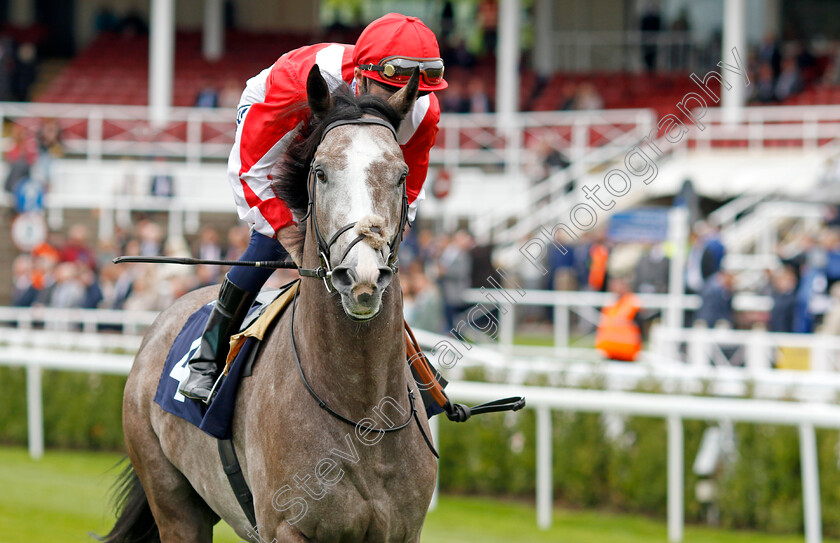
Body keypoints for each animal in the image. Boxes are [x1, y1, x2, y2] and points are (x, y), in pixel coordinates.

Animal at [103, 67, 434, 543]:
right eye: (320, 172)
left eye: (401, 174)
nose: (362, 278)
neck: (360, 409)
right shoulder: (286, 528)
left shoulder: (403, 531)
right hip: (173, 502)